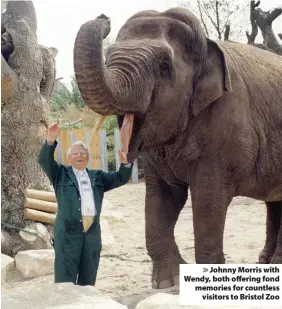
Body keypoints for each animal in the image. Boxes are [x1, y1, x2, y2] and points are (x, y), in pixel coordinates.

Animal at [73, 7, 282, 288]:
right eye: (107, 58)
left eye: (164, 66)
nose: (104, 18)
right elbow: (163, 198)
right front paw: (168, 282)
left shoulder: (227, 129)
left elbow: (208, 199)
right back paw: (266, 262)